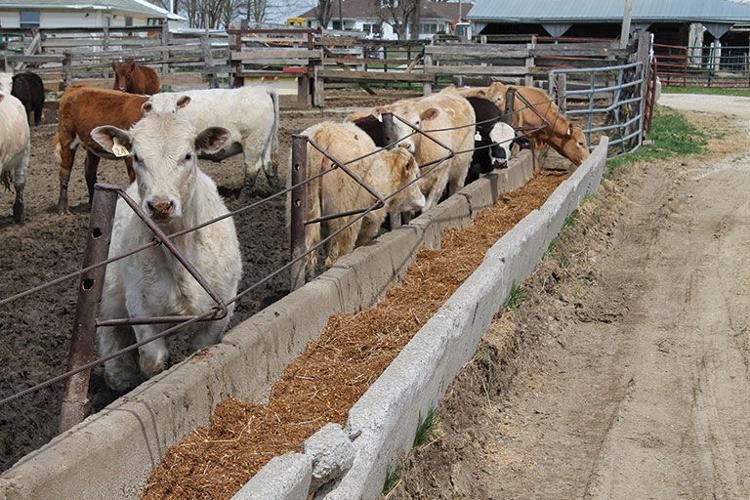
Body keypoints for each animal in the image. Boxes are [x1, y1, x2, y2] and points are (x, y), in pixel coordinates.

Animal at [90, 111, 242, 390]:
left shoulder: (220, 309)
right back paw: (120, 376)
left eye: (188, 155)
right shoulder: (141, 308)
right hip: (110, 293)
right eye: (137, 157)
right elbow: (153, 362)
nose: (160, 205)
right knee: (111, 335)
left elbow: (199, 350)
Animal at [143, 86, 280, 191]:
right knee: (268, 164)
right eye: (153, 113)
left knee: (252, 167)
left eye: (173, 111)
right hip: (266, 141)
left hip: (253, 142)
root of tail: (262, 89)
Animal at [297, 121, 425, 279]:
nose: (422, 199)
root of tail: (325, 131)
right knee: (334, 257)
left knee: (309, 260)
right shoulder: (372, 219)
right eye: (415, 175)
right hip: (345, 221)